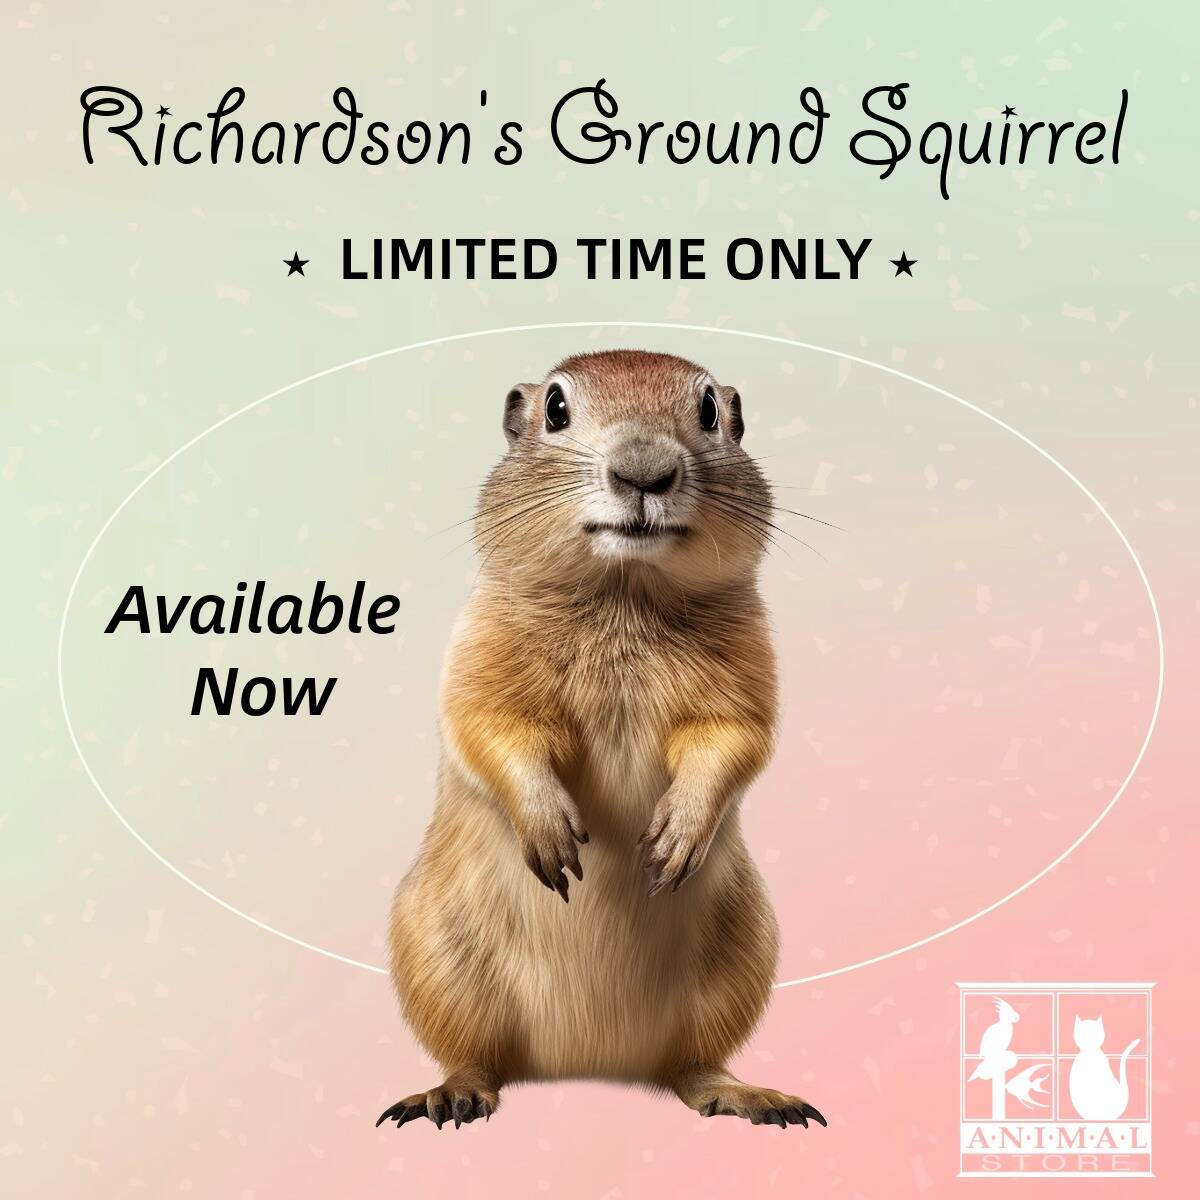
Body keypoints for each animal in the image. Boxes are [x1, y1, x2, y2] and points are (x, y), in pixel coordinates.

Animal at [380, 350, 825, 1132]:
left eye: (712, 411)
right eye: (555, 408)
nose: (644, 472)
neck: (625, 591)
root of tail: (585, 1061)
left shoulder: (746, 671)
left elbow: (732, 736)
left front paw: (674, 839)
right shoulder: (483, 651)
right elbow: (492, 724)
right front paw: (555, 836)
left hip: (741, 960)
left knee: (693, 1066)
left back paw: (748, 1097)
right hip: (436, 957)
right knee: (475, 1057)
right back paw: (450, 1095)